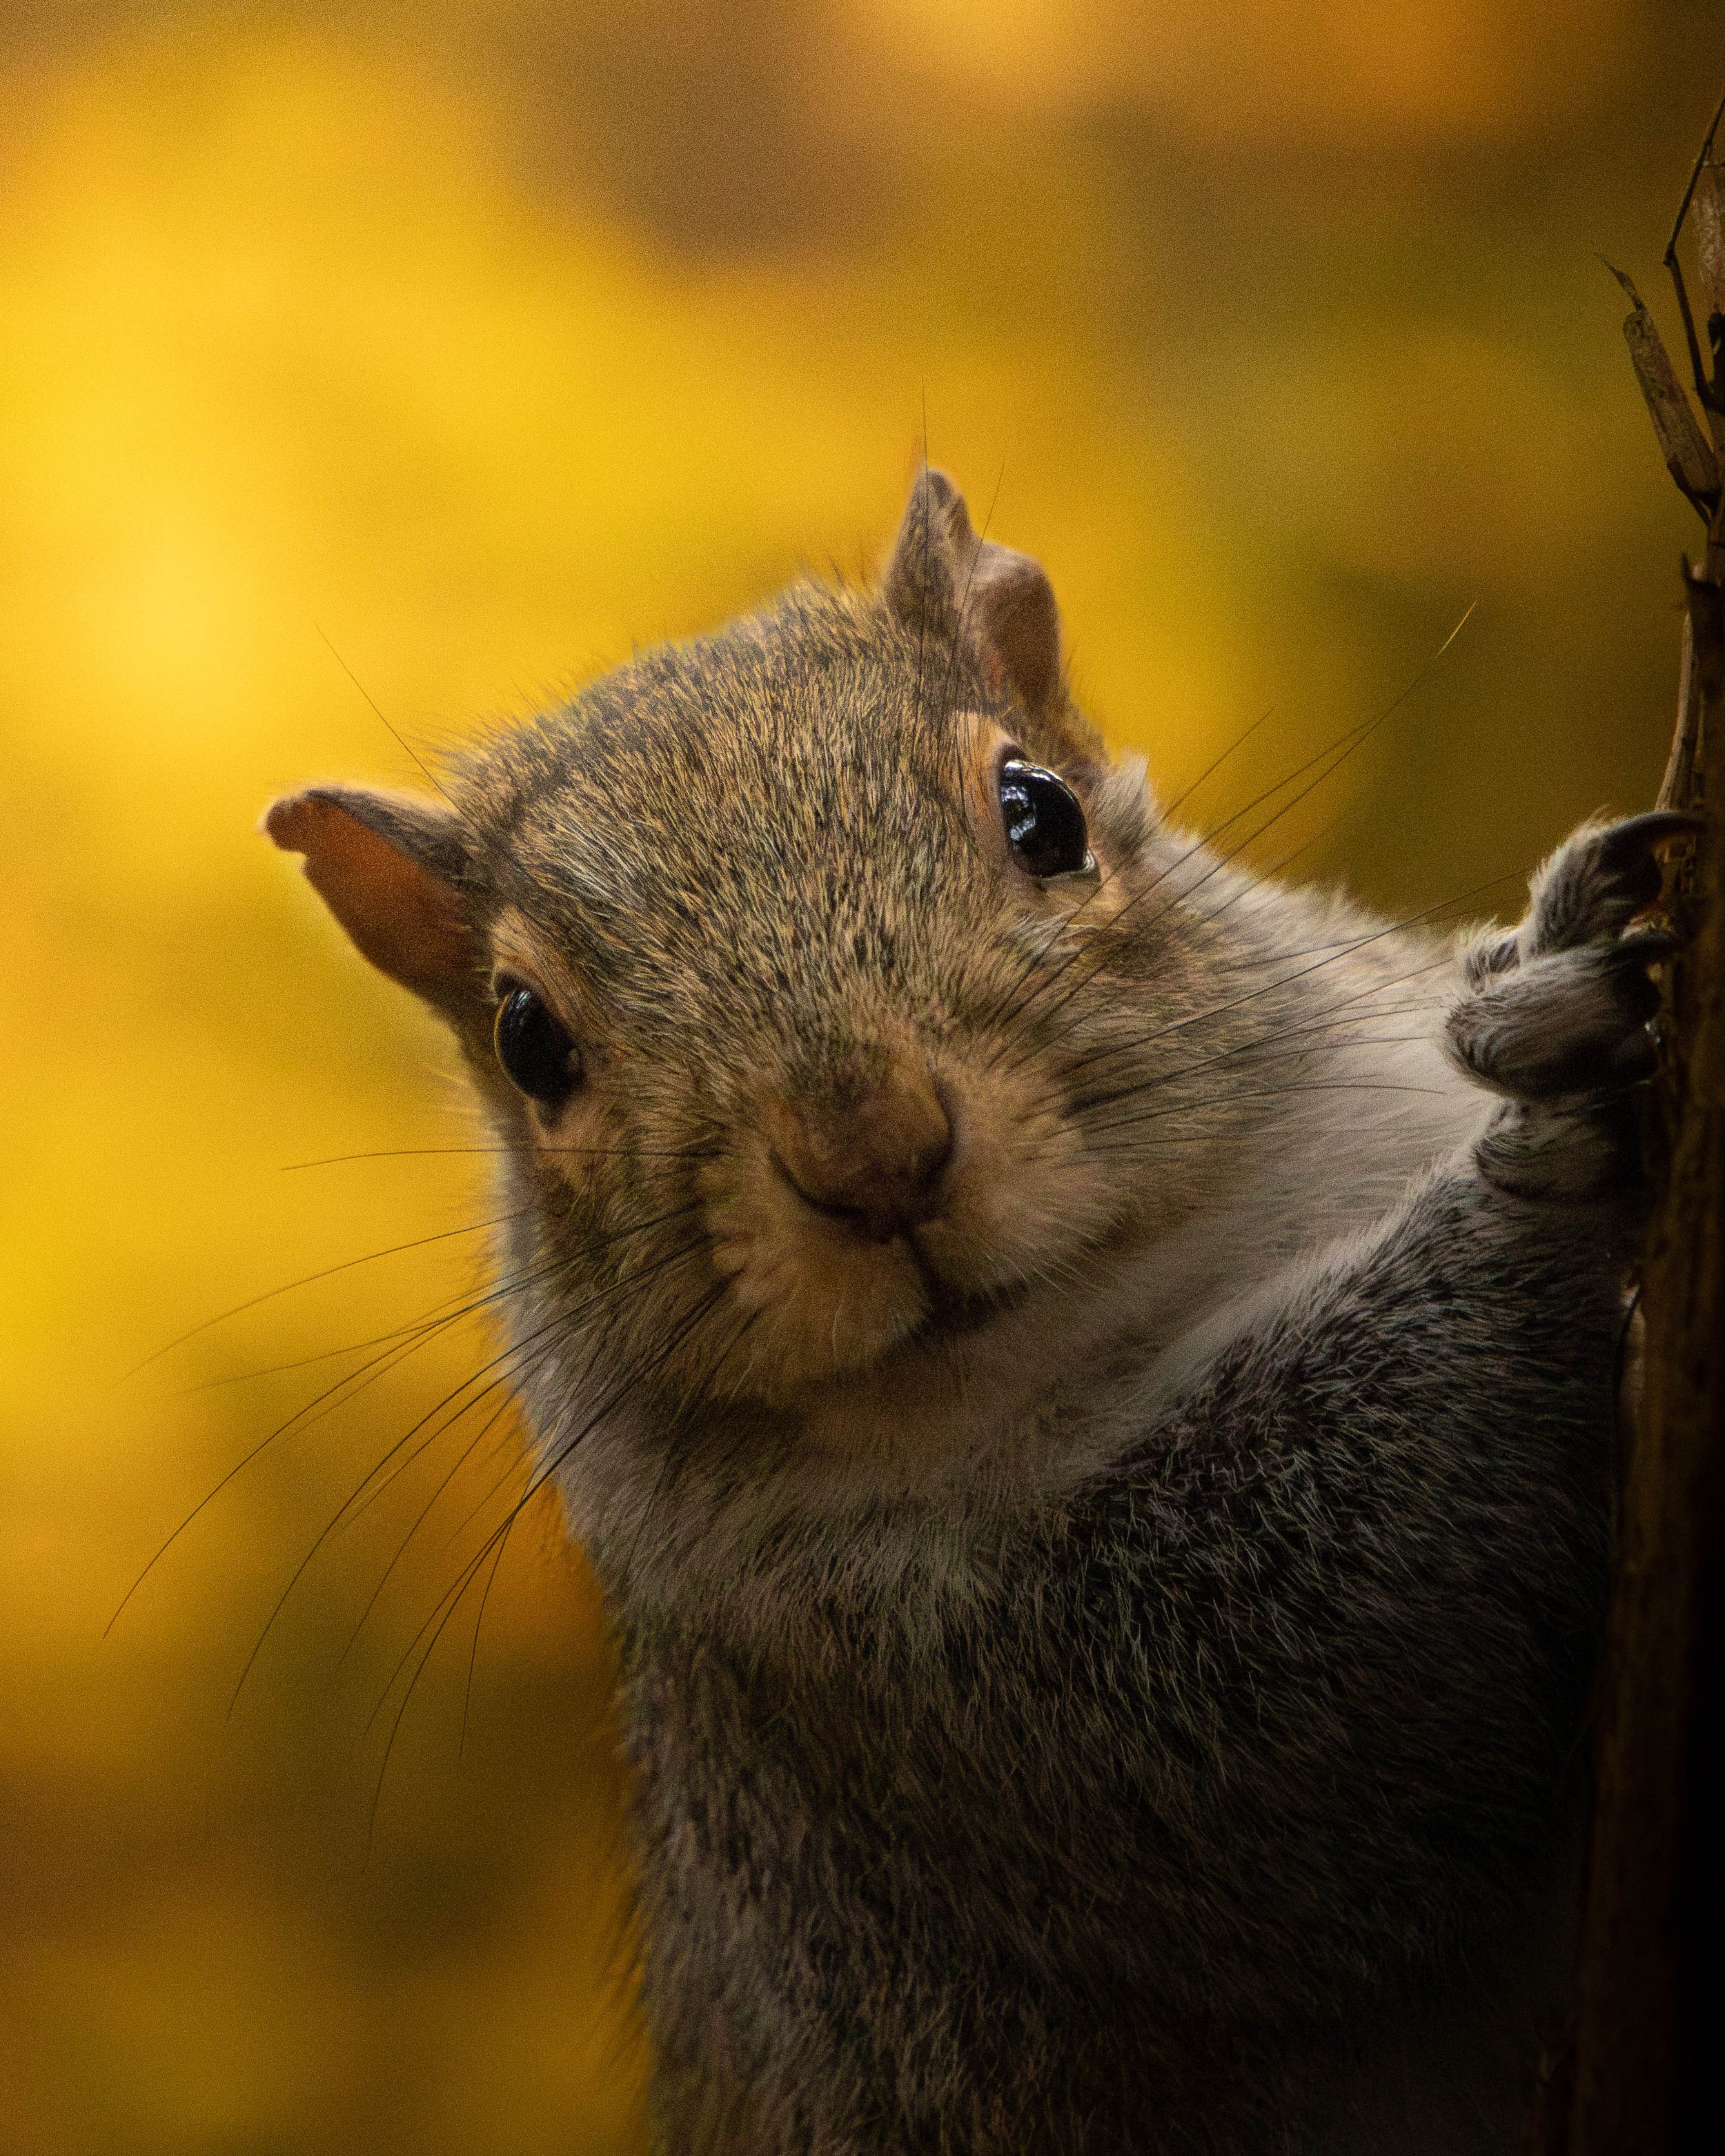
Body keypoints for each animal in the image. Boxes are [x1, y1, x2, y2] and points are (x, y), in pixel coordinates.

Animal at [266, 470, 1693, 2155]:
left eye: (1041, 812)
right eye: (526, 1037)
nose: (869, 1151)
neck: (1112, 1311)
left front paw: (1518, 973)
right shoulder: (942, 1702)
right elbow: (1323, 1646)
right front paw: (1538, 1162)